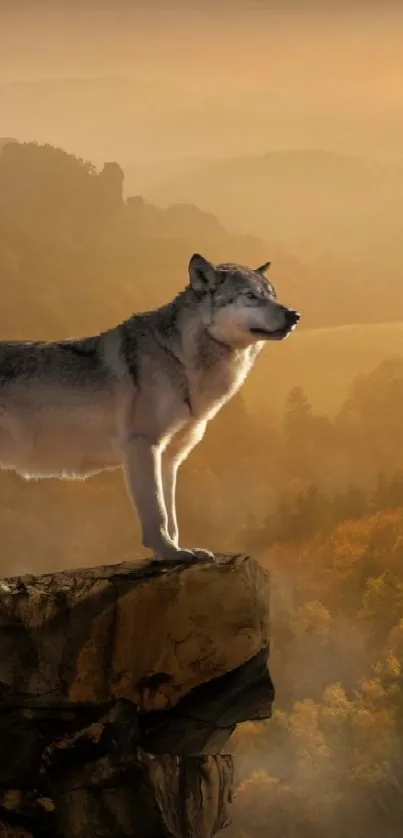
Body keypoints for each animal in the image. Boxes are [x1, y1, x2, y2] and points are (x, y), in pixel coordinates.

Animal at [0, 256, 300, 564]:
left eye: (273, 295)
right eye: (251, 296)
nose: (294, 315)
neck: (180, 359)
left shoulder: (170, 459)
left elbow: (172, 517)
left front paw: (177, 552)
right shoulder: (143, 446)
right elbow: (156, 513)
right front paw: (169, 552)